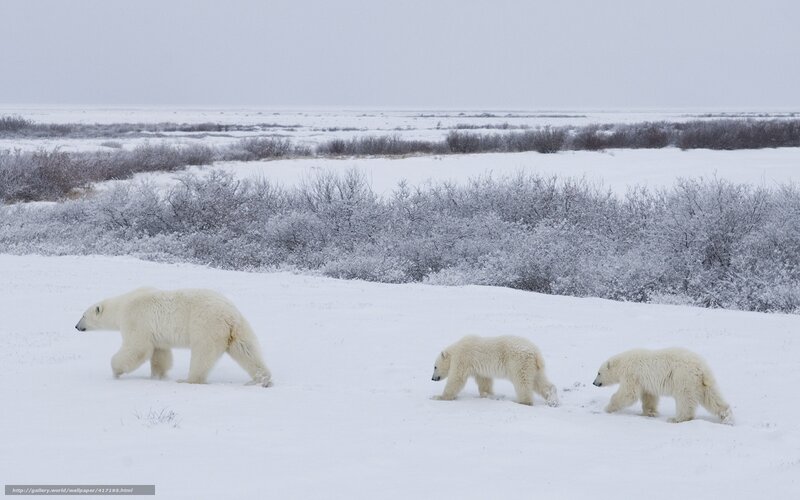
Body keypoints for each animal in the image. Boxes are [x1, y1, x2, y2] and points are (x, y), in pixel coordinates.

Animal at [75, 287, 272, 387]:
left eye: (83, 315)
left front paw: (116, 371)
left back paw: (188, 379)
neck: (122, 305)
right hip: (238, 328)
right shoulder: (157, 334)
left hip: (206, 325)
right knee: (247, 350)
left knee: (202, 354)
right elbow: (160, 354)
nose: (76, 326)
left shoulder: (136, 319)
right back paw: (261, 379)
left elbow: (137, 348)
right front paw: (157, 376)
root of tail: (229, 315)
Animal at [593, 347, 732, 424]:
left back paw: (677, 418)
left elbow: (628, 394)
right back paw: (726, 417)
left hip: (683, 378)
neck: (623, 362)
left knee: (685, 399)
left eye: (598, 373)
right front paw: (650, 412)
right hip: (701, 382)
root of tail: (701, 368)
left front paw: (607, 408)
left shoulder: (632, 374)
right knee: (712, 397)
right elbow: (649, 397)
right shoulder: (645, 382)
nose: (594, 383)